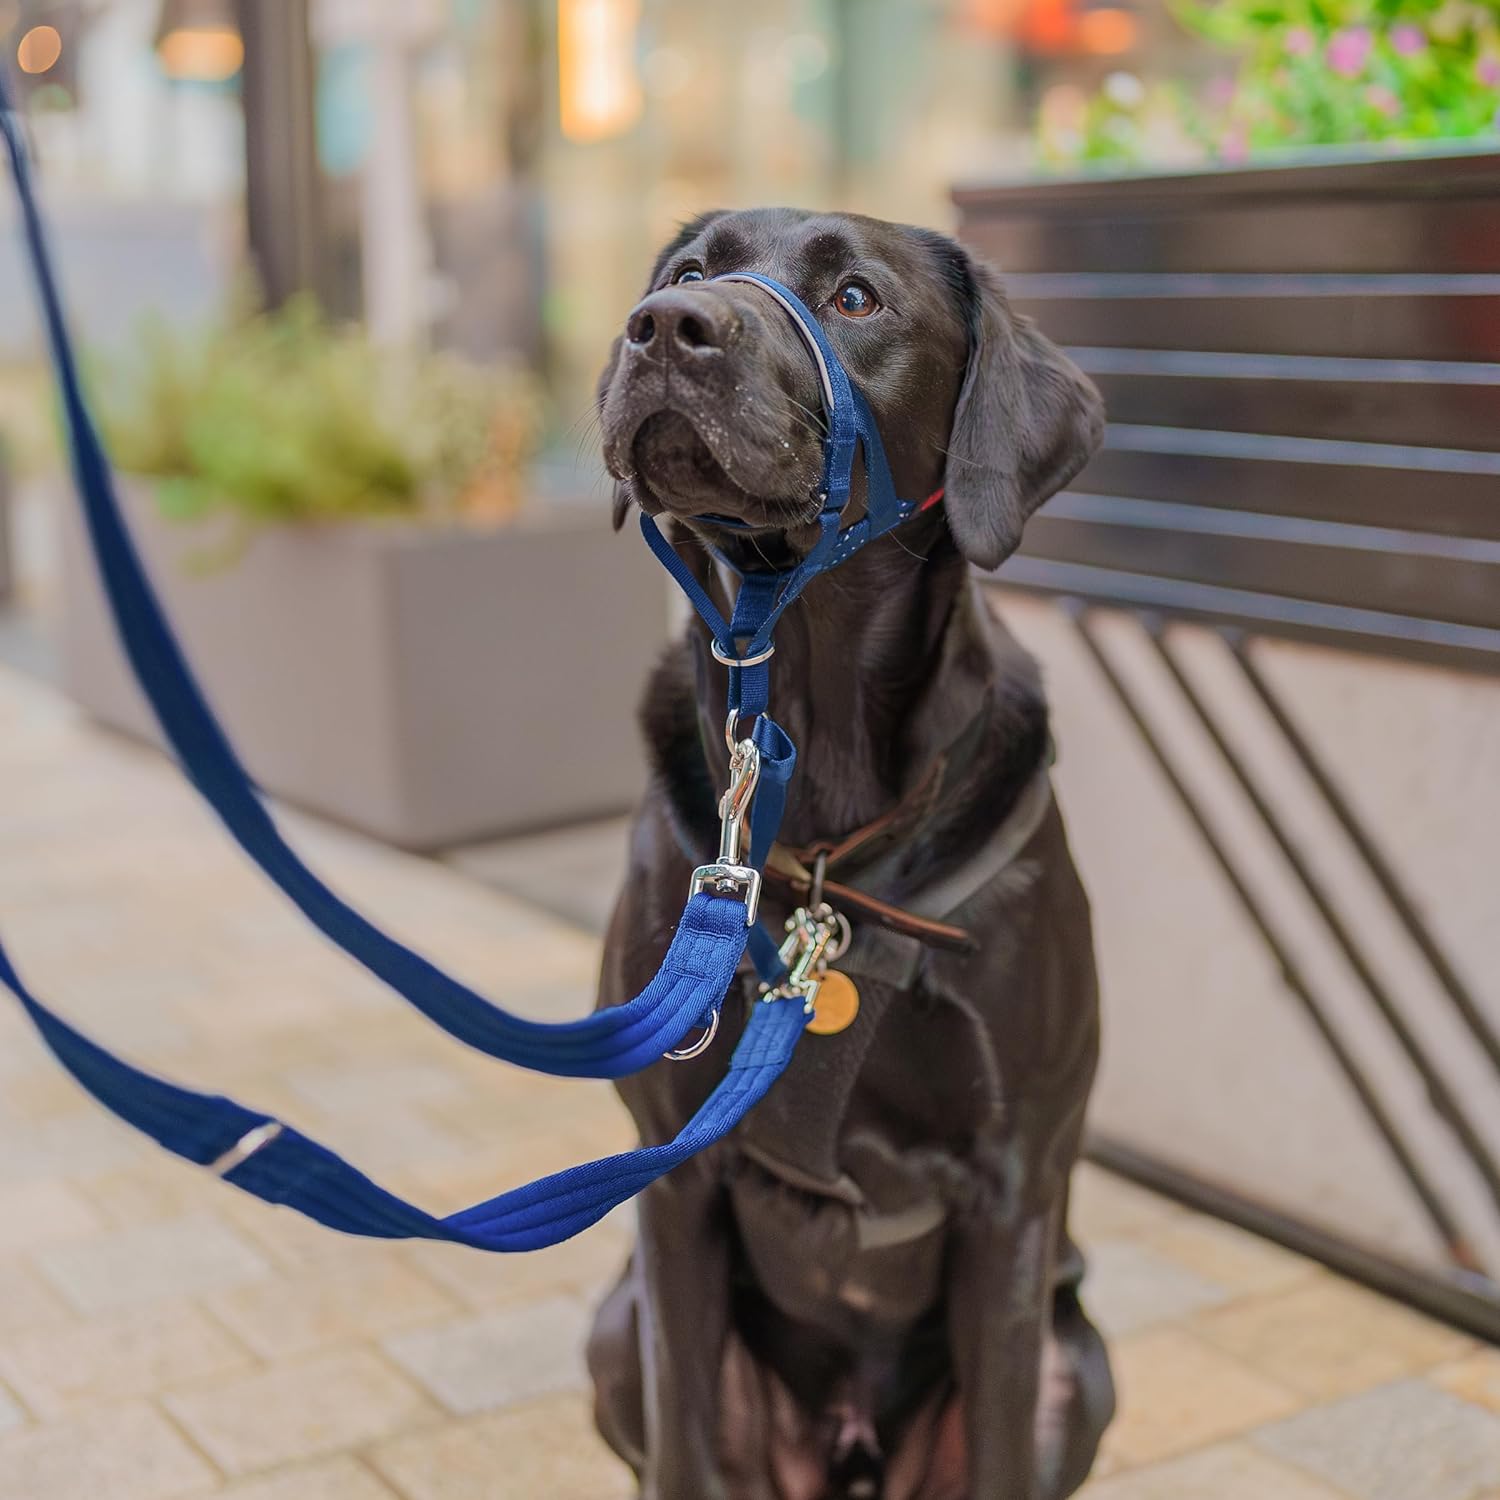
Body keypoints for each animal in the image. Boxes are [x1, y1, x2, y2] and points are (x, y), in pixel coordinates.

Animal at [585, 208, 1116, 1500]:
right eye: (690, 271)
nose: (667, 325)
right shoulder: (672, 1179)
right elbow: (682, 1449)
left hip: (1082, 1372)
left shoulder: (1012, 1192)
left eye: (859, 299)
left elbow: (998, 1453)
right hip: (615, 1332)